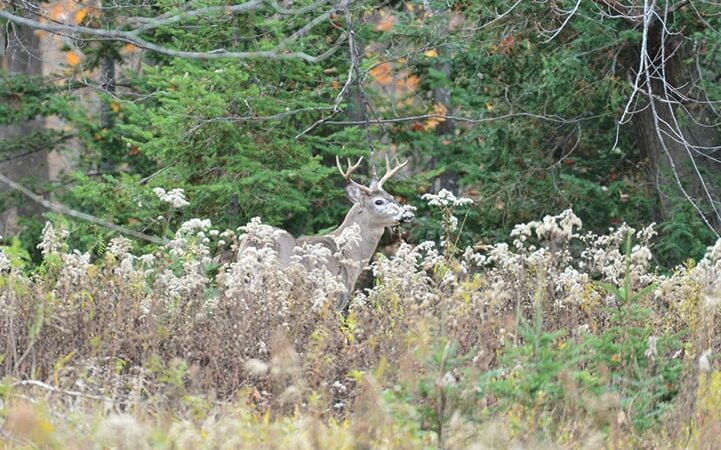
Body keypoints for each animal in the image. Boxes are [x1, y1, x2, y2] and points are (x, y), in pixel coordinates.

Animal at [239, 155, 414, 310]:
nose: (408, 214)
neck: (348, 255)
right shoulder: (332, 298)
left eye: (392, 196)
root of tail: (255, 241)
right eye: (379, 202)